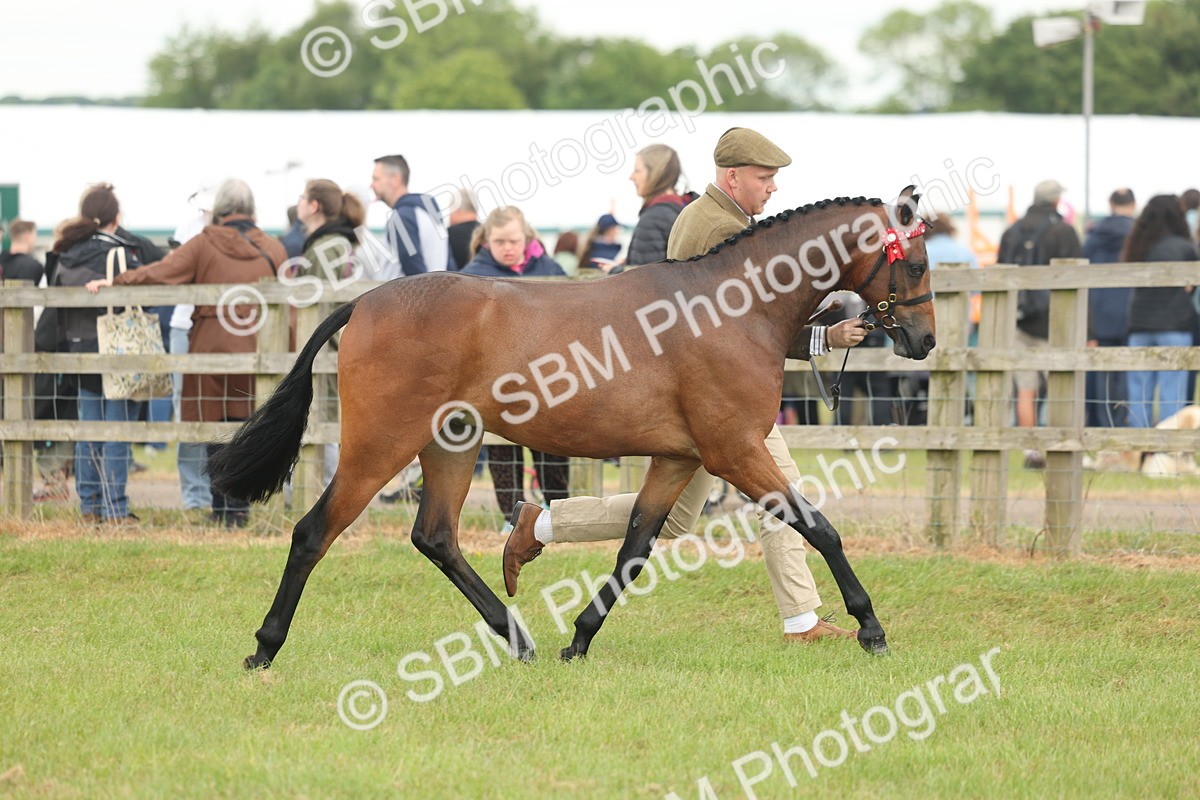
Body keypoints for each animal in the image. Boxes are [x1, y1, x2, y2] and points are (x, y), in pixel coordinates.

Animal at [207, 186, 936, 668]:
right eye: (918, 263)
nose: (924, 341)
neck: (736, 307)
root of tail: (362, 303)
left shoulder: (680, 459)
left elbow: (634, 546)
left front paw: (579, 638)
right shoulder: (735, 451)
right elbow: (819, 526)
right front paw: (871, 627)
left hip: (452, 443)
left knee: (436, 537)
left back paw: (520, 637)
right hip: (379, 445)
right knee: (313, 533)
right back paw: (264, 649)